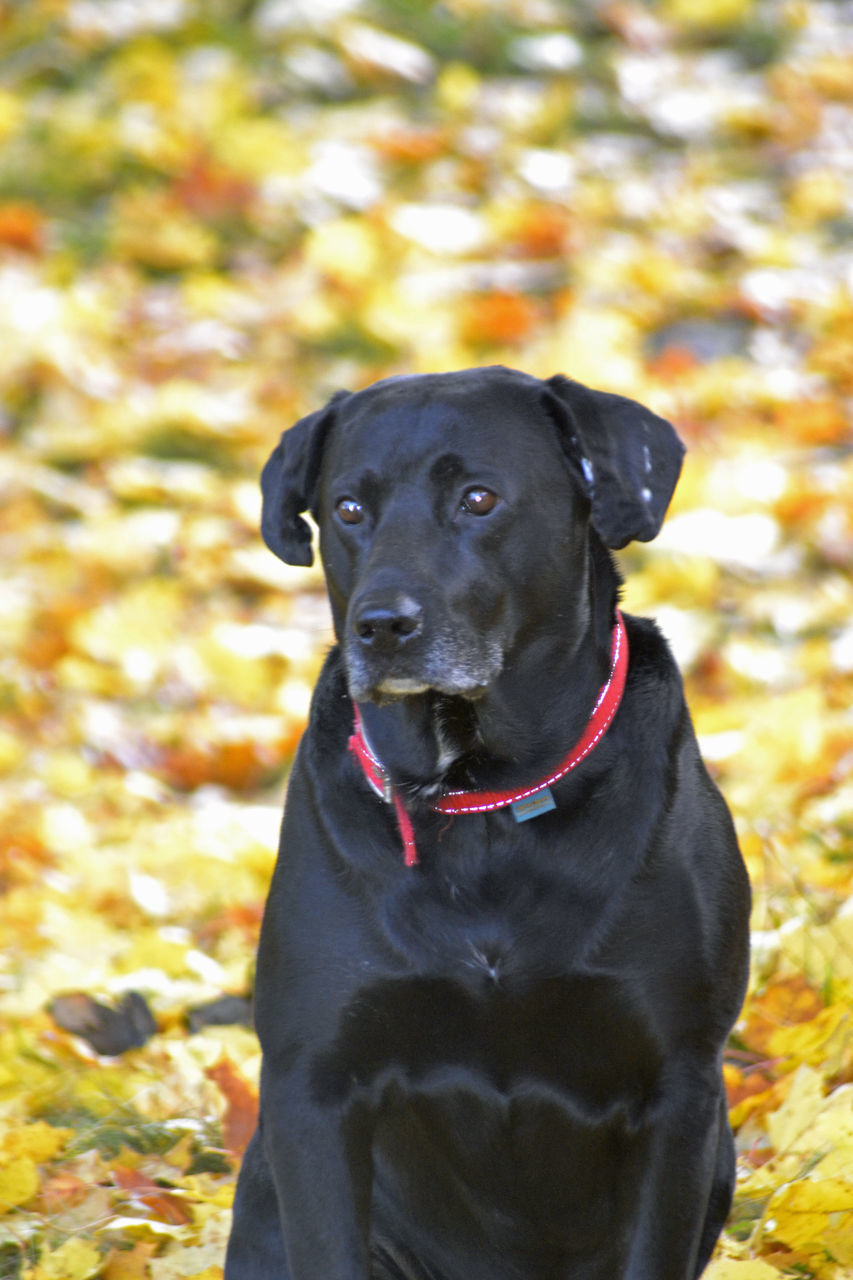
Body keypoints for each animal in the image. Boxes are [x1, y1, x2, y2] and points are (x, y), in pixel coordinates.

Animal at [222, 368, 747, 1280]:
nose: (381, 626)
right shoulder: (312, 1087)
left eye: (478, 498)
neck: (486, 804)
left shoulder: (678, 1092)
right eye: (348, 509)